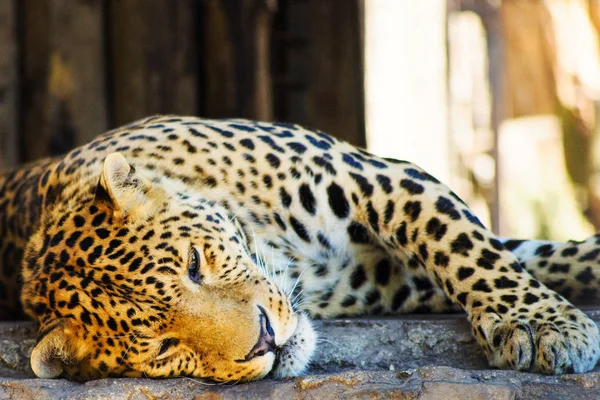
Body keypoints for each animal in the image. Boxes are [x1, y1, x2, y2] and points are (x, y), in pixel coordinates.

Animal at [0, 115, 596, 382]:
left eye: (194, 264)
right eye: (164, 349)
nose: (265, 339)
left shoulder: (376, 179)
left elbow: (473, 248)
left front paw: (543, 326)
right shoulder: (393, 283)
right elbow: (501, 254)